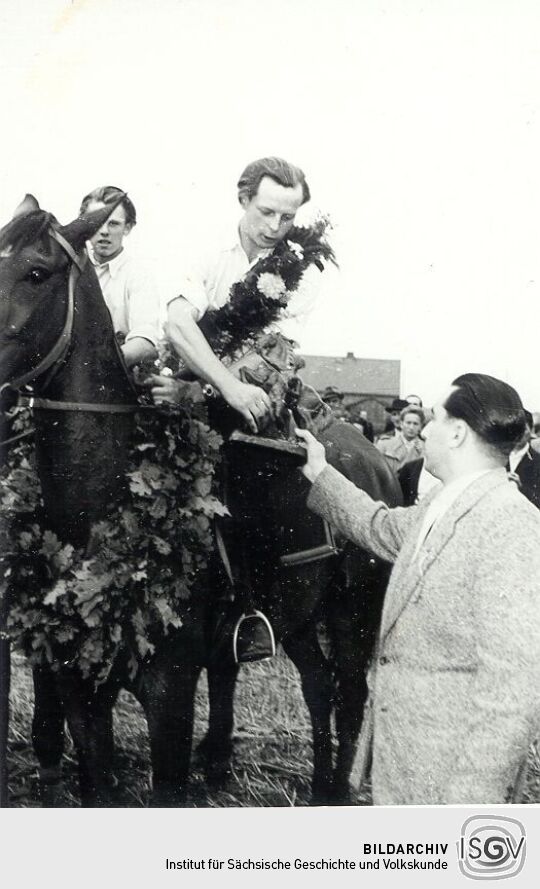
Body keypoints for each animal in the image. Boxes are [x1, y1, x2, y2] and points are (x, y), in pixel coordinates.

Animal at [0, 198, 402, 808]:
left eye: (37, 273)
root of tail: (378, 461)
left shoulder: (170, 694)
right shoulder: (78, 688)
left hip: (353, 612)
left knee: (350, 694)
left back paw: (334, 791)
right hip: (299, 617)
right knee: (318, 686)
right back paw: (314, 789)